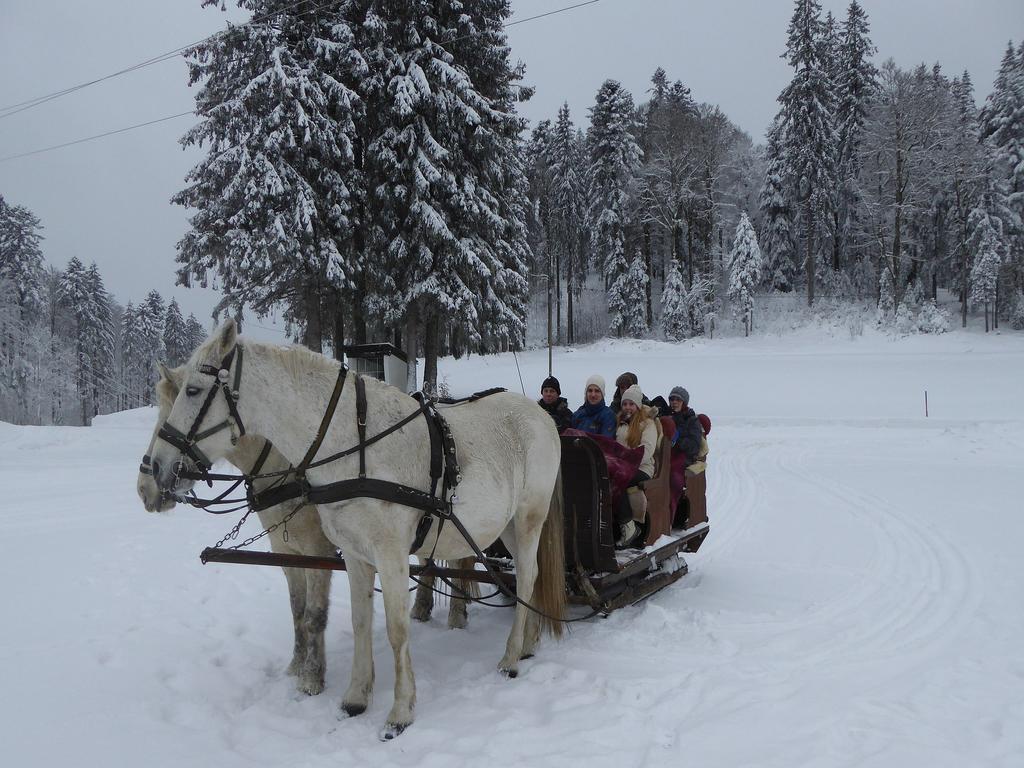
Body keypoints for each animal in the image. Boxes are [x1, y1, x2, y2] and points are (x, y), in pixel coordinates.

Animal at [135, 366, 479, 696]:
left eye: (175, 411)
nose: (145, 487)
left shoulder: (319, 551)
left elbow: (315, 613)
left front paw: (312, 677)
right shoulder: (287, 552)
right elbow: (297, 609)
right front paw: (297, 664)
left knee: (460, 559)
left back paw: (456, 613)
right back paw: (423, 606)